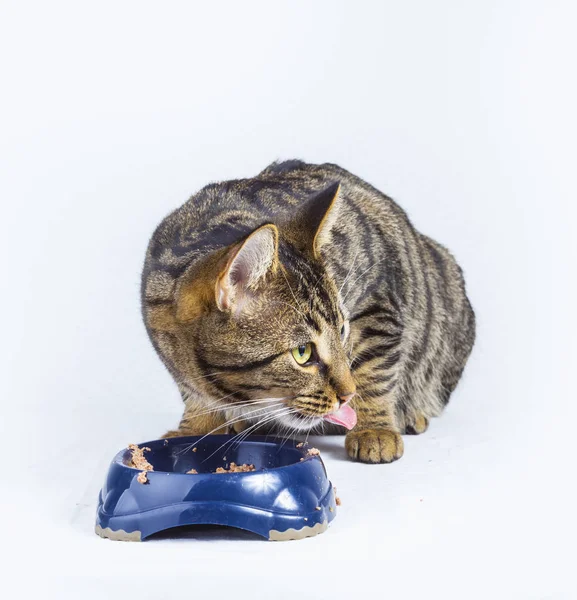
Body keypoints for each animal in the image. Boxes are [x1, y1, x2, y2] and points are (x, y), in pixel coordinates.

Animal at [142, 161, 474, 464]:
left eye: (343, 331)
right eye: (302, 352)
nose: (348, 394)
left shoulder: (376, 303)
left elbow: (374, 371)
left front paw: (373, 428)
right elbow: (193, 393)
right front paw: (195, 427)